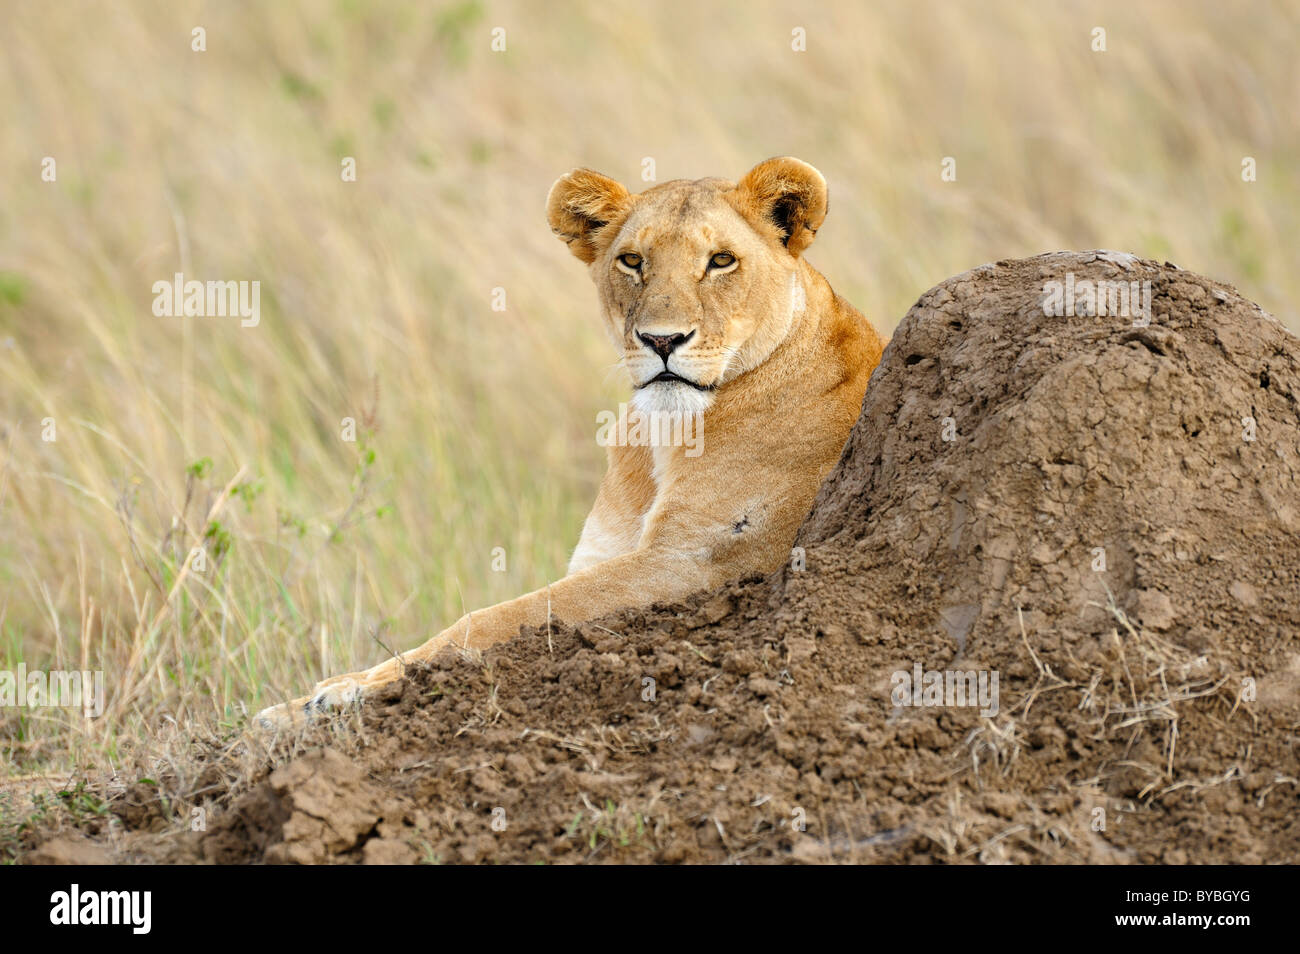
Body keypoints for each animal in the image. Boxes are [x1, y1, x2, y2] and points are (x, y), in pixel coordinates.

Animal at [256, 156, 884, 728]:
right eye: (632, 261)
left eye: (721, 260)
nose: (661, 341)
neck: (664, 436)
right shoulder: (605, 554)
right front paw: (294, 708)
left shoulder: (694, 565)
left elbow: (495, 619)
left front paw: (340, 692)